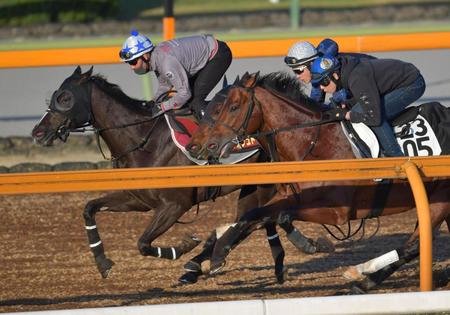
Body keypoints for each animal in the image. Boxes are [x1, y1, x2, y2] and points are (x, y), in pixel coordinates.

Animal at [187, 71, 450, 294]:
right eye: (210, 107)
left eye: (231, 107)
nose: (195, 146)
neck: (311, 143)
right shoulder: (287, 196)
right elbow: (256, 215)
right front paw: (216, 252)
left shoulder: (337, 212)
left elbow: (278, 215)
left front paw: (310, 244)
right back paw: (364, 283)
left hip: (440, 201)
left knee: (415, 244)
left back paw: (360, 273)